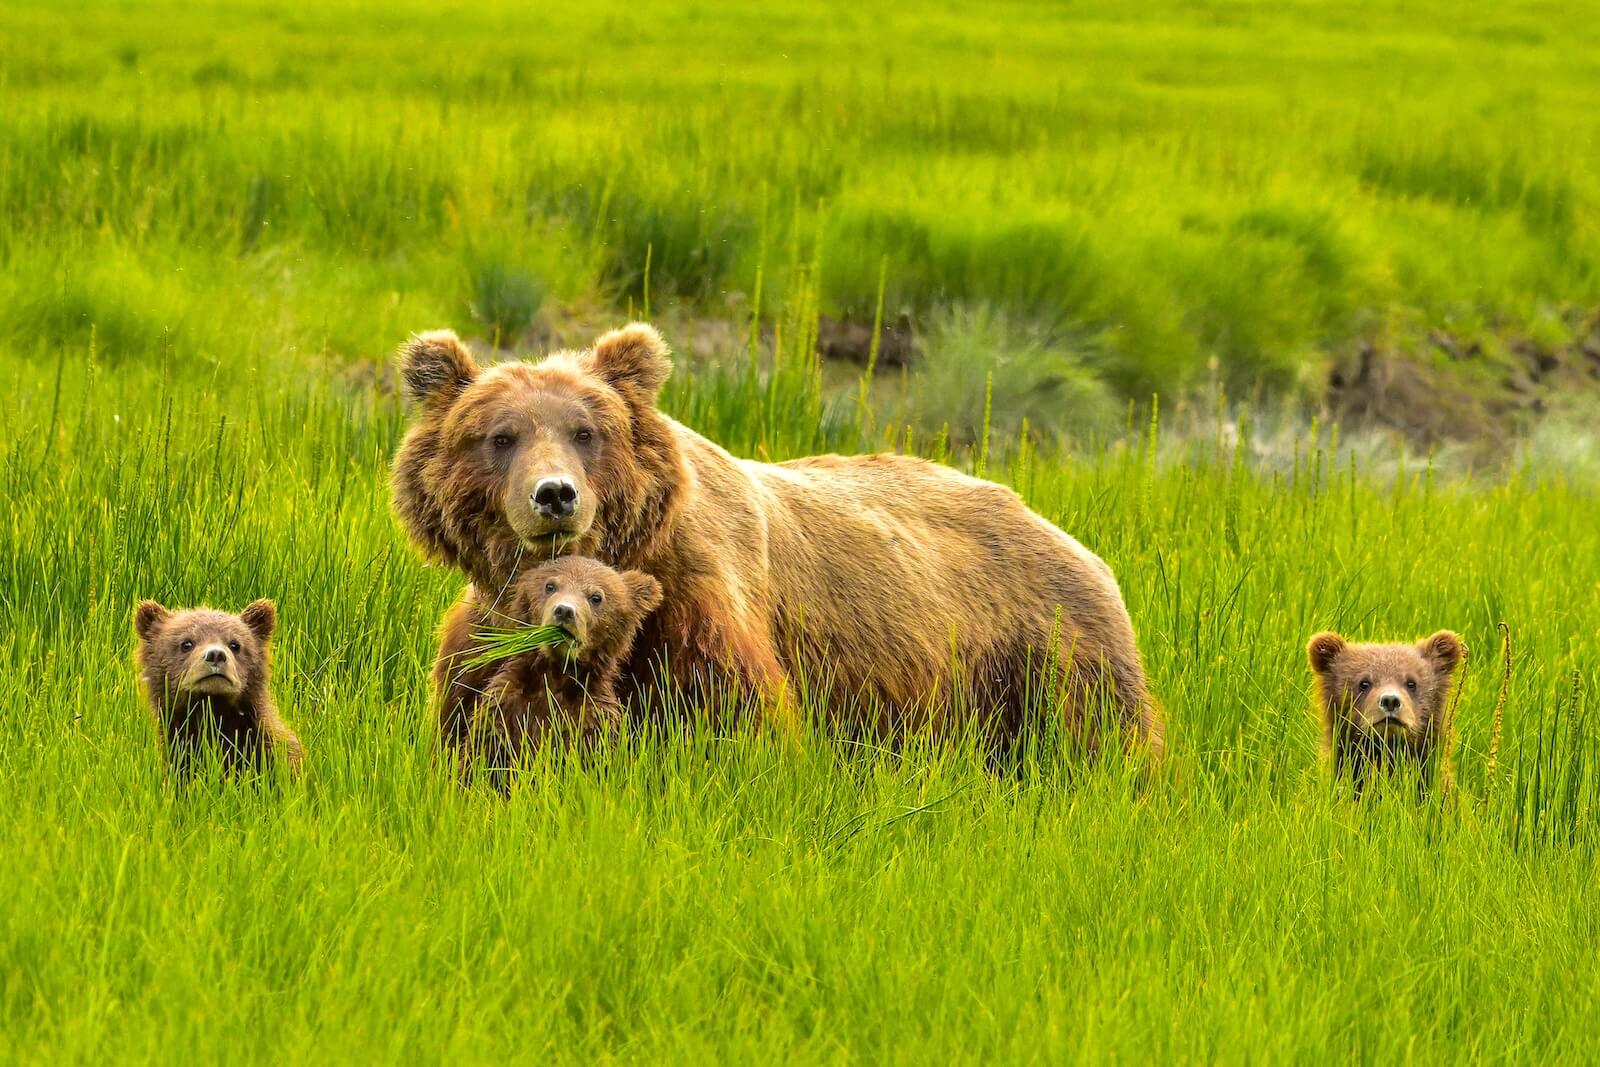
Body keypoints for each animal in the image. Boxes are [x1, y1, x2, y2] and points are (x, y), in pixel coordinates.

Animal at [470, 556, 663, 774]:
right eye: (550, 585)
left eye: (596, 597)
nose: (564, 611)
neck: (555, 675)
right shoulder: (504, 707)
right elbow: (482, 757)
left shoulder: (591, 721)